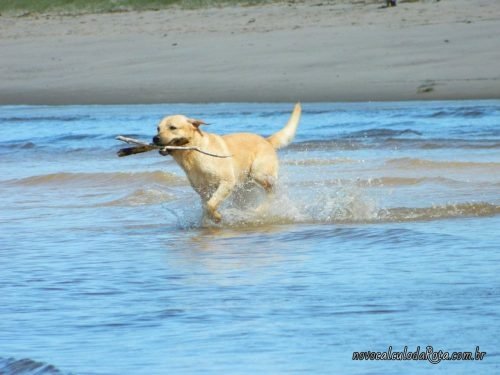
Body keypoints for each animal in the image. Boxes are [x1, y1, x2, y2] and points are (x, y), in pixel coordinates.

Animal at [152, 103, 300, 223]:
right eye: (158, 128)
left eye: (172, 127)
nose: (155, 138)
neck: (192, 153)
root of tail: (266, 140)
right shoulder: (203, 191)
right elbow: (206, 206)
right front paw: (208, 220)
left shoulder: (226, 182)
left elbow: (211, 205)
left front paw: (216, 217)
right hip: (242, 188)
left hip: (258, 173)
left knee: (271, 191)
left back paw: (261, 209)